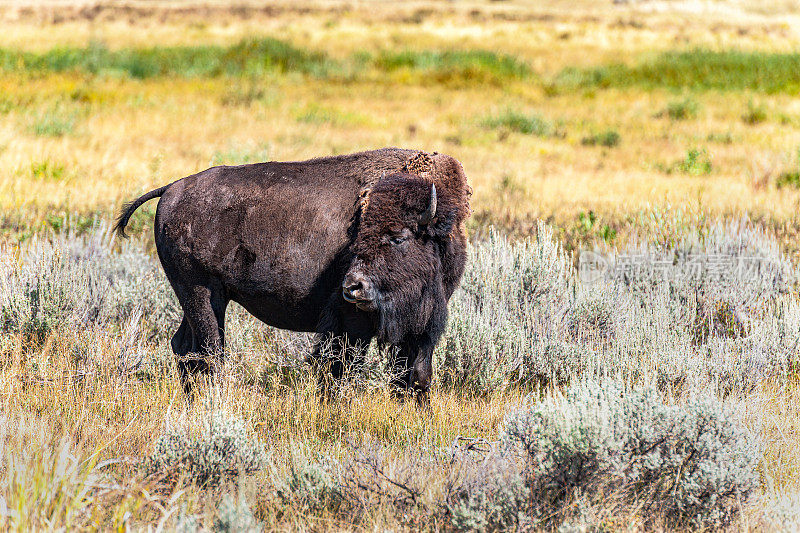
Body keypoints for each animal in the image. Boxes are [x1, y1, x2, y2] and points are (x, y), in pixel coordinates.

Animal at [115, 147, 472, 400]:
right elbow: (344, 368)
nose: (353, 288)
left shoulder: (421, 326)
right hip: (201, 292)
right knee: (209, 352)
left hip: (202, 298)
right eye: (358, 236)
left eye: (398, 236)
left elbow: (416, 374)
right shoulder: (350, 324)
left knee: (185, 348)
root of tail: (171, 189)